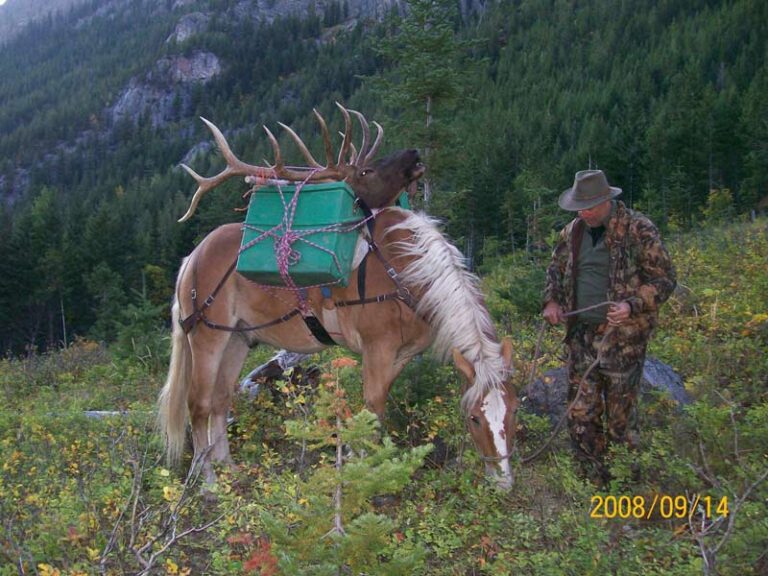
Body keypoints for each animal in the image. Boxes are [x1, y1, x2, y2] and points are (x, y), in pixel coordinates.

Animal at [160, 102, 520, 486]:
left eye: (514, 409)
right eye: (474, 418)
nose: (503, 480)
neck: (410, 279)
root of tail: (190, 259)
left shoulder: (402, 354)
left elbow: (376, 410)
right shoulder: (376, 347)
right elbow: (372, 407)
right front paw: (364, 471)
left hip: (238, 339)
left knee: (221, 400)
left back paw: (229, 467)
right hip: (205, 335)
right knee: (197, 404)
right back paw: (208, 480)